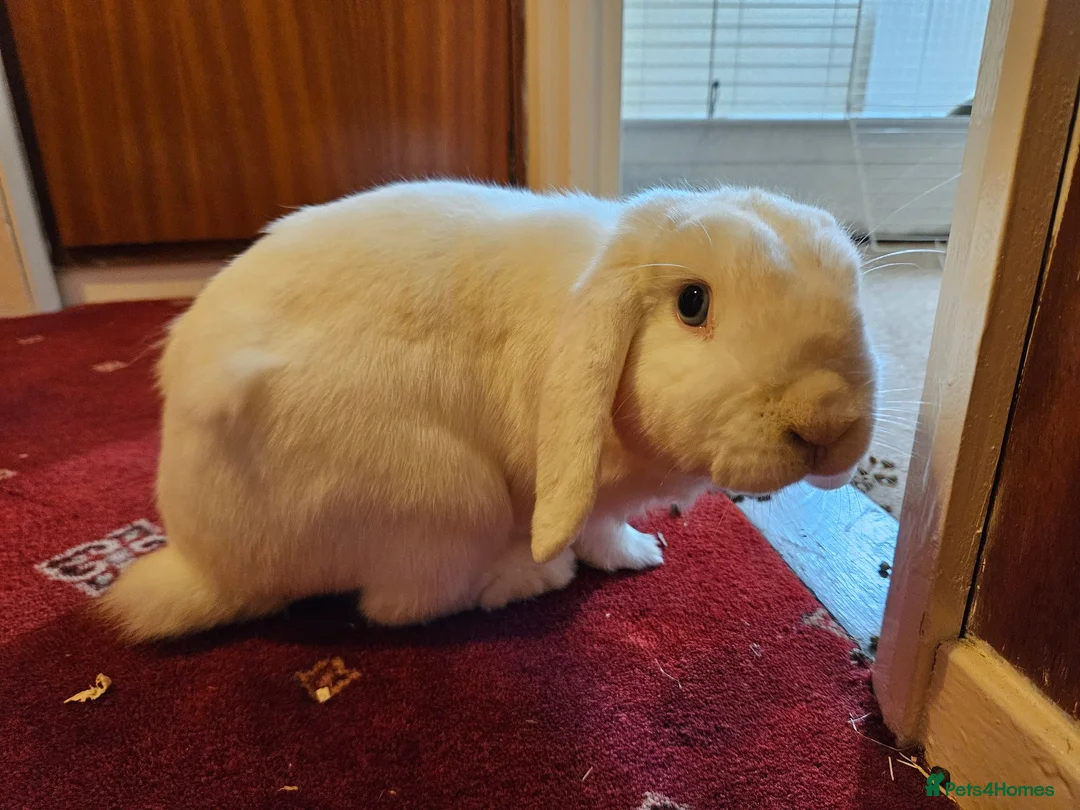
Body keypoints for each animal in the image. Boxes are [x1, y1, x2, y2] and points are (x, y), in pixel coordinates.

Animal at [100, 181, 877, 642]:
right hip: (446, 498)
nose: (827, 420)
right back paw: (529, 579)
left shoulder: (599, 500)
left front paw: (636, 556)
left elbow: (604, 526)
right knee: (405, 603)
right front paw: (582, 562)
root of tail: (210, 567)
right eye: (693, 303)